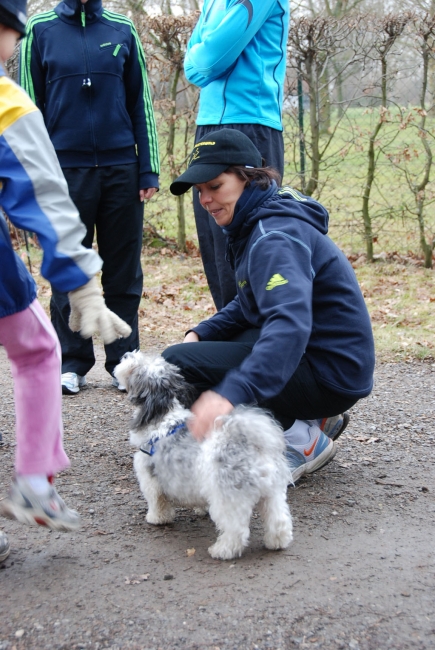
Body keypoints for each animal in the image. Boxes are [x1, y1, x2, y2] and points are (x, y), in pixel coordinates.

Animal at [114, 350, 294, 556]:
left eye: (135, 368)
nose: (128, 354)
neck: (165, 418)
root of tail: (248, 446)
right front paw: (200, 510)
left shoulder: (150, 479)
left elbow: (157, 501)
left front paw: (156, 518)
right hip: (272, 494)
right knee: (279, 520)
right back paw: (277, 542)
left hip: (229, 499)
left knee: (236, 530)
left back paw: (222, 550)